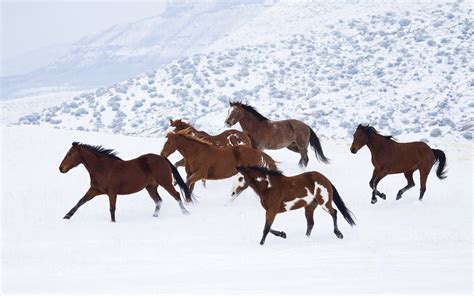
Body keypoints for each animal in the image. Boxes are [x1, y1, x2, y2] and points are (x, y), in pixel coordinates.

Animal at [59, 142, 193, 222]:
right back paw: (154, 217)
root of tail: (163, 159)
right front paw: (66, 216)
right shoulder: (94, 190)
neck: (103, 168)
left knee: (176, 195)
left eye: (70, 154)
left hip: (165, 183)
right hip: (150, 187)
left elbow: (112, 208)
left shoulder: (112, 192)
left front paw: (113, 222)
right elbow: (80, 201)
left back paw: (186, 213)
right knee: (158, 200)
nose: (61, 168)